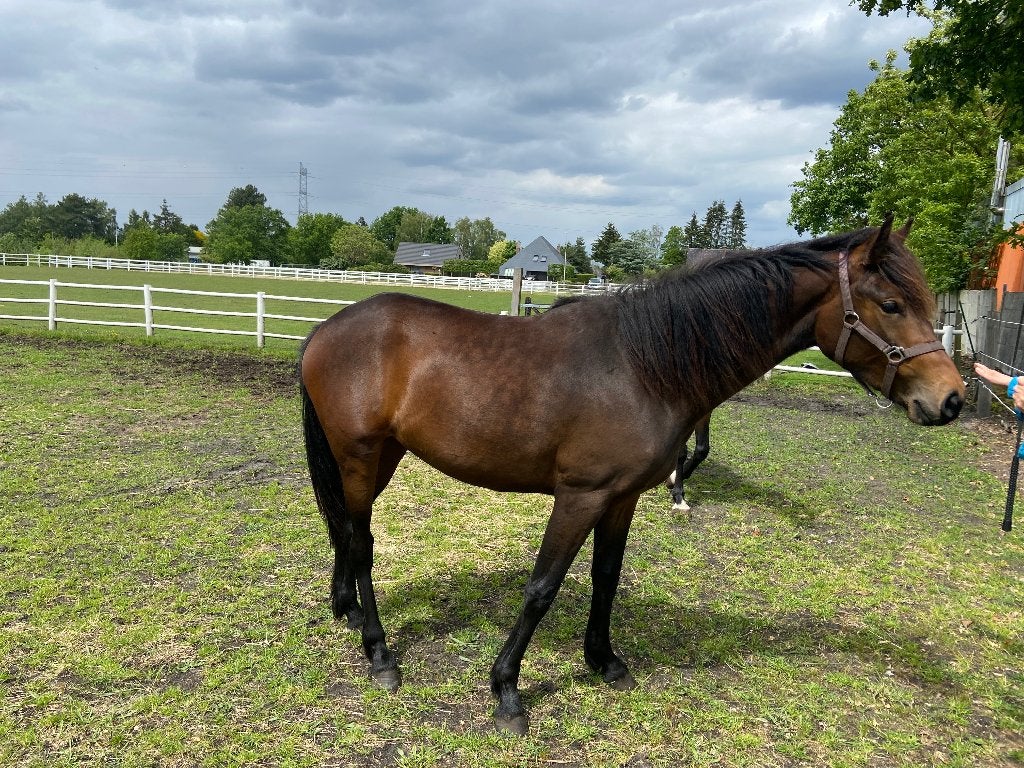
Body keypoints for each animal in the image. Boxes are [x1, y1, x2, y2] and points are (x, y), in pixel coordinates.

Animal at [299, 216, 964, 735]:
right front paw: (507, 690)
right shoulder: (580, 496)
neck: (643, 366)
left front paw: (603, 661)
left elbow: (606, 578)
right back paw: (380, 654)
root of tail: (326, 328)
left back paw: (348, 612)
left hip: (381, 458)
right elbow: (542, 588)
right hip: (359, 456)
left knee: (344, 530)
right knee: (362, 542)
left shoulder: (620, 498)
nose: (951, 400)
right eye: (891, 305)